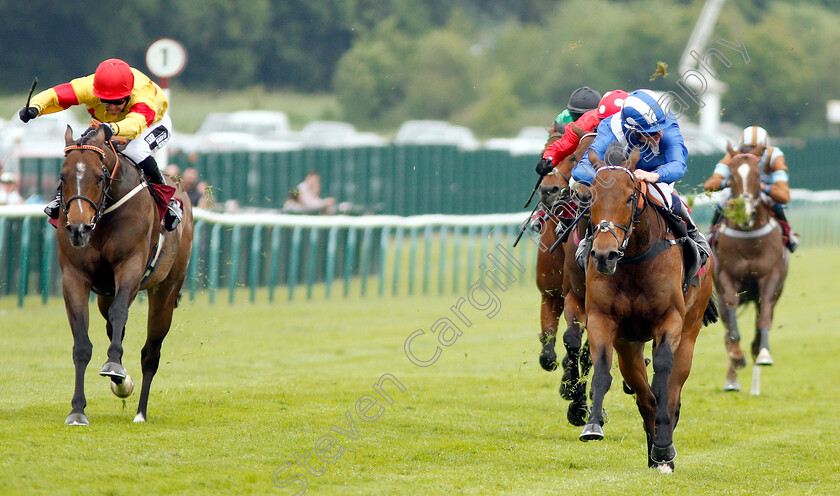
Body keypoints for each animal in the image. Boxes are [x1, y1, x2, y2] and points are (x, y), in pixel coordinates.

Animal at [58, 127, 194, 426]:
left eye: (99, 177)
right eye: (63, 177)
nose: (78, 229)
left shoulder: (130, 265)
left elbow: (121, 312)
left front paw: (113, 366)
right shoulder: (74, 276)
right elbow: (81, 343)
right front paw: (77, 410)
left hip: (166, 289)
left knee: (150, 352)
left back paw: (140, 411)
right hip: (105, 294)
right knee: (113, 327)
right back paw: (121, 382)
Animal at [580, 145, 720, 470]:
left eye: (630, 197)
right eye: (592, 197)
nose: (604, 255)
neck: (633, 258)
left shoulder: (670, 320)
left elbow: (663, 376)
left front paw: (664, 447)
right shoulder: (602, 319)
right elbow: (603, 370)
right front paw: (593, 424)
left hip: (690, 331)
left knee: (672, 391)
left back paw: (663, 448)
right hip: (629, 345)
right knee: (645, 396)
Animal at [712, 143, 784, 392]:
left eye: (757, 176)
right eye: (732, 177)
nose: (743, 211)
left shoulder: (770, 277)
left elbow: (764, 319)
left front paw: (764, 354)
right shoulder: (726, 276)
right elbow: (731, 321)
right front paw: (736, 355)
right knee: (726, 329)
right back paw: (732, 378)